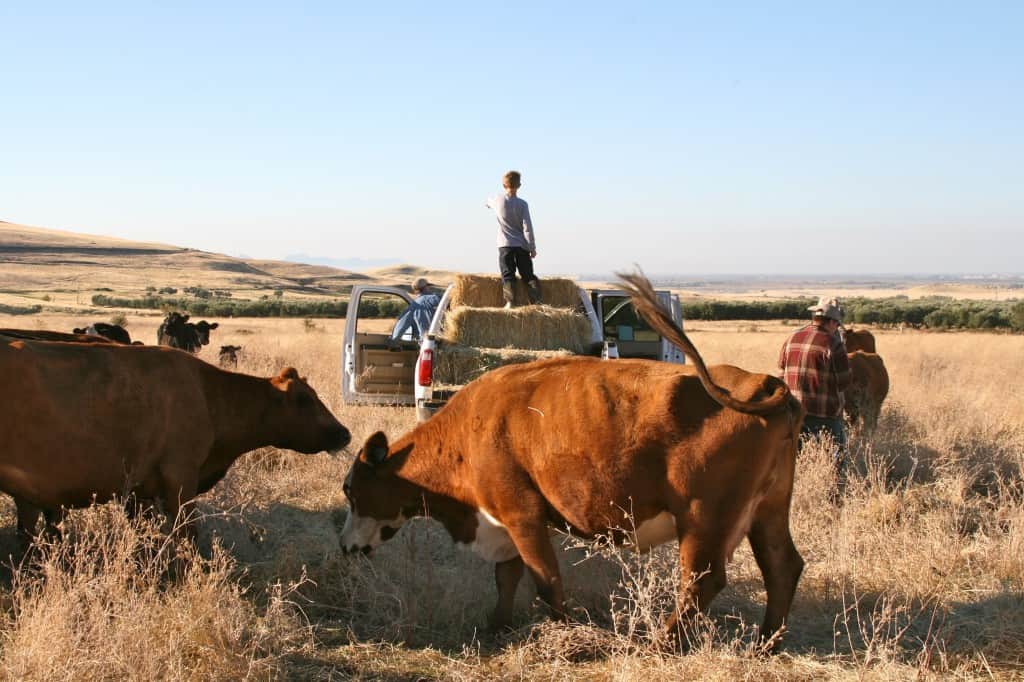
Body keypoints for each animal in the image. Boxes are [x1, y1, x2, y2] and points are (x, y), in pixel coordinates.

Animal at [1, 337, 352, 544]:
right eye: (304, 399)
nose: (344, 432)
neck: (208, 395)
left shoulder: (141, 491)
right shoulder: (180, 478)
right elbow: (189, 535)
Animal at [339, 272, 802, 647]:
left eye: (351, 490)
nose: (344, 547)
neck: (471, 427)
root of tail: (761, 383)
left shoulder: (522, 514)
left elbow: (545, 580)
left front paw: (566, 634)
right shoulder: (504, 518)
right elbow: (506, 577)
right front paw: (497, 625)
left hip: (703, 520)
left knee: (701, 583)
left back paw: (662, 645)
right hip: (767, 511)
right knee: (783, 568)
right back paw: (766, 645)